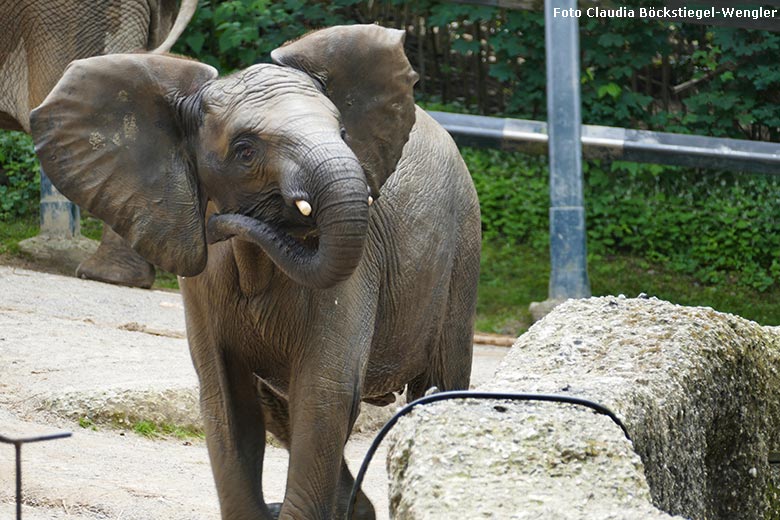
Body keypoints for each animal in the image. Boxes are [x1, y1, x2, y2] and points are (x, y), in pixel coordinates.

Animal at [30, 23, 482, 516]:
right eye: (245, 152)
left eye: (343, 132)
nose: (219, 223)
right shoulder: (202, 284)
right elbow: (227, 405)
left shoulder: (357, 275)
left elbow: (324, 397)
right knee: (276, 408)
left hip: (462, 248)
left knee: (438, 385)